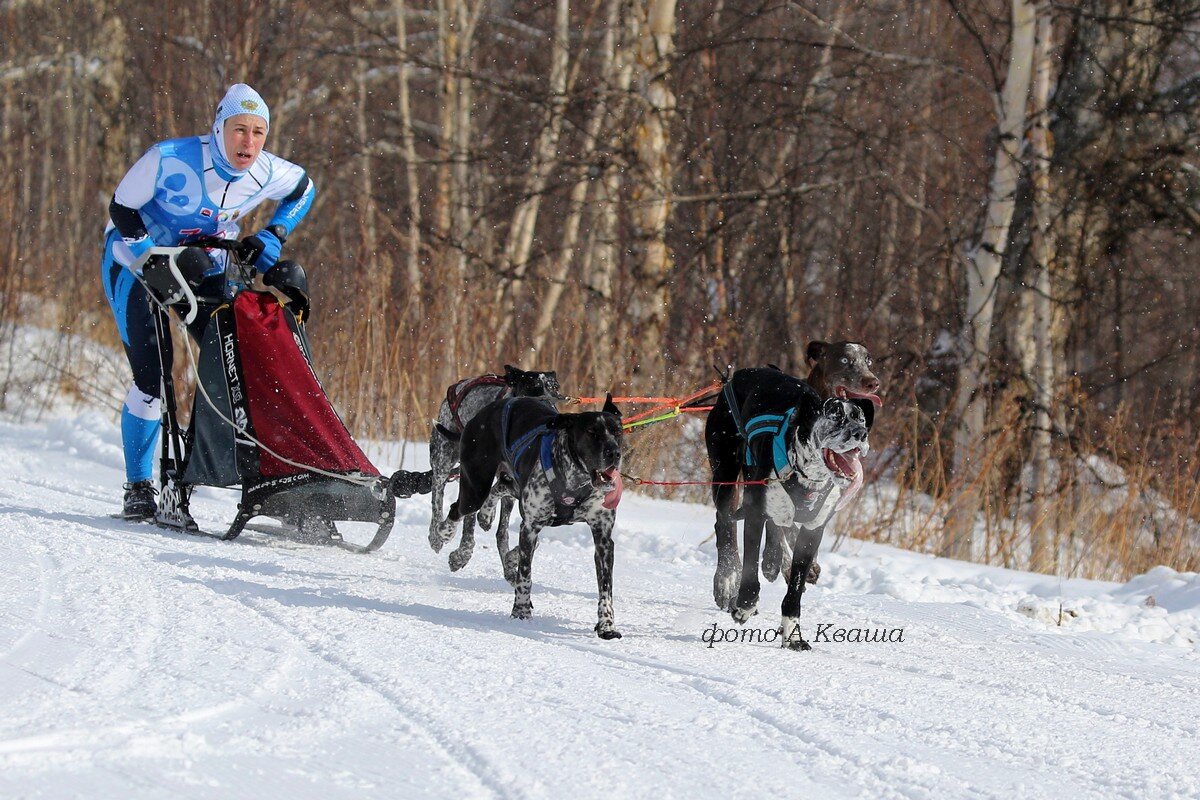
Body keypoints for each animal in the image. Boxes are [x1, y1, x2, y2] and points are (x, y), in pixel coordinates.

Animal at [429, 367, 564, 573]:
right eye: (531, 386)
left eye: (555, 387)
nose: (551, 402)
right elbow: (468, 520)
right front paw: (461, 553)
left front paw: (511, 559)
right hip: (444, 463)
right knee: (438, 497)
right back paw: (438, 535)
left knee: (501, 530)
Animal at [700, 369, 873, 652]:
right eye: (834, 415)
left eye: (860, 418)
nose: (861, 433)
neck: (808, 477)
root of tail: (738, 374)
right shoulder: (755, 514)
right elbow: (749, 569)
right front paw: (745, 605)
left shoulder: (813, 531)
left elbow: (795, 587)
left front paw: (792, 634)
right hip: (725, 472)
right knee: (724, 524)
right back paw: (726, 579)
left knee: (777, 525)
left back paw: (773, 559)